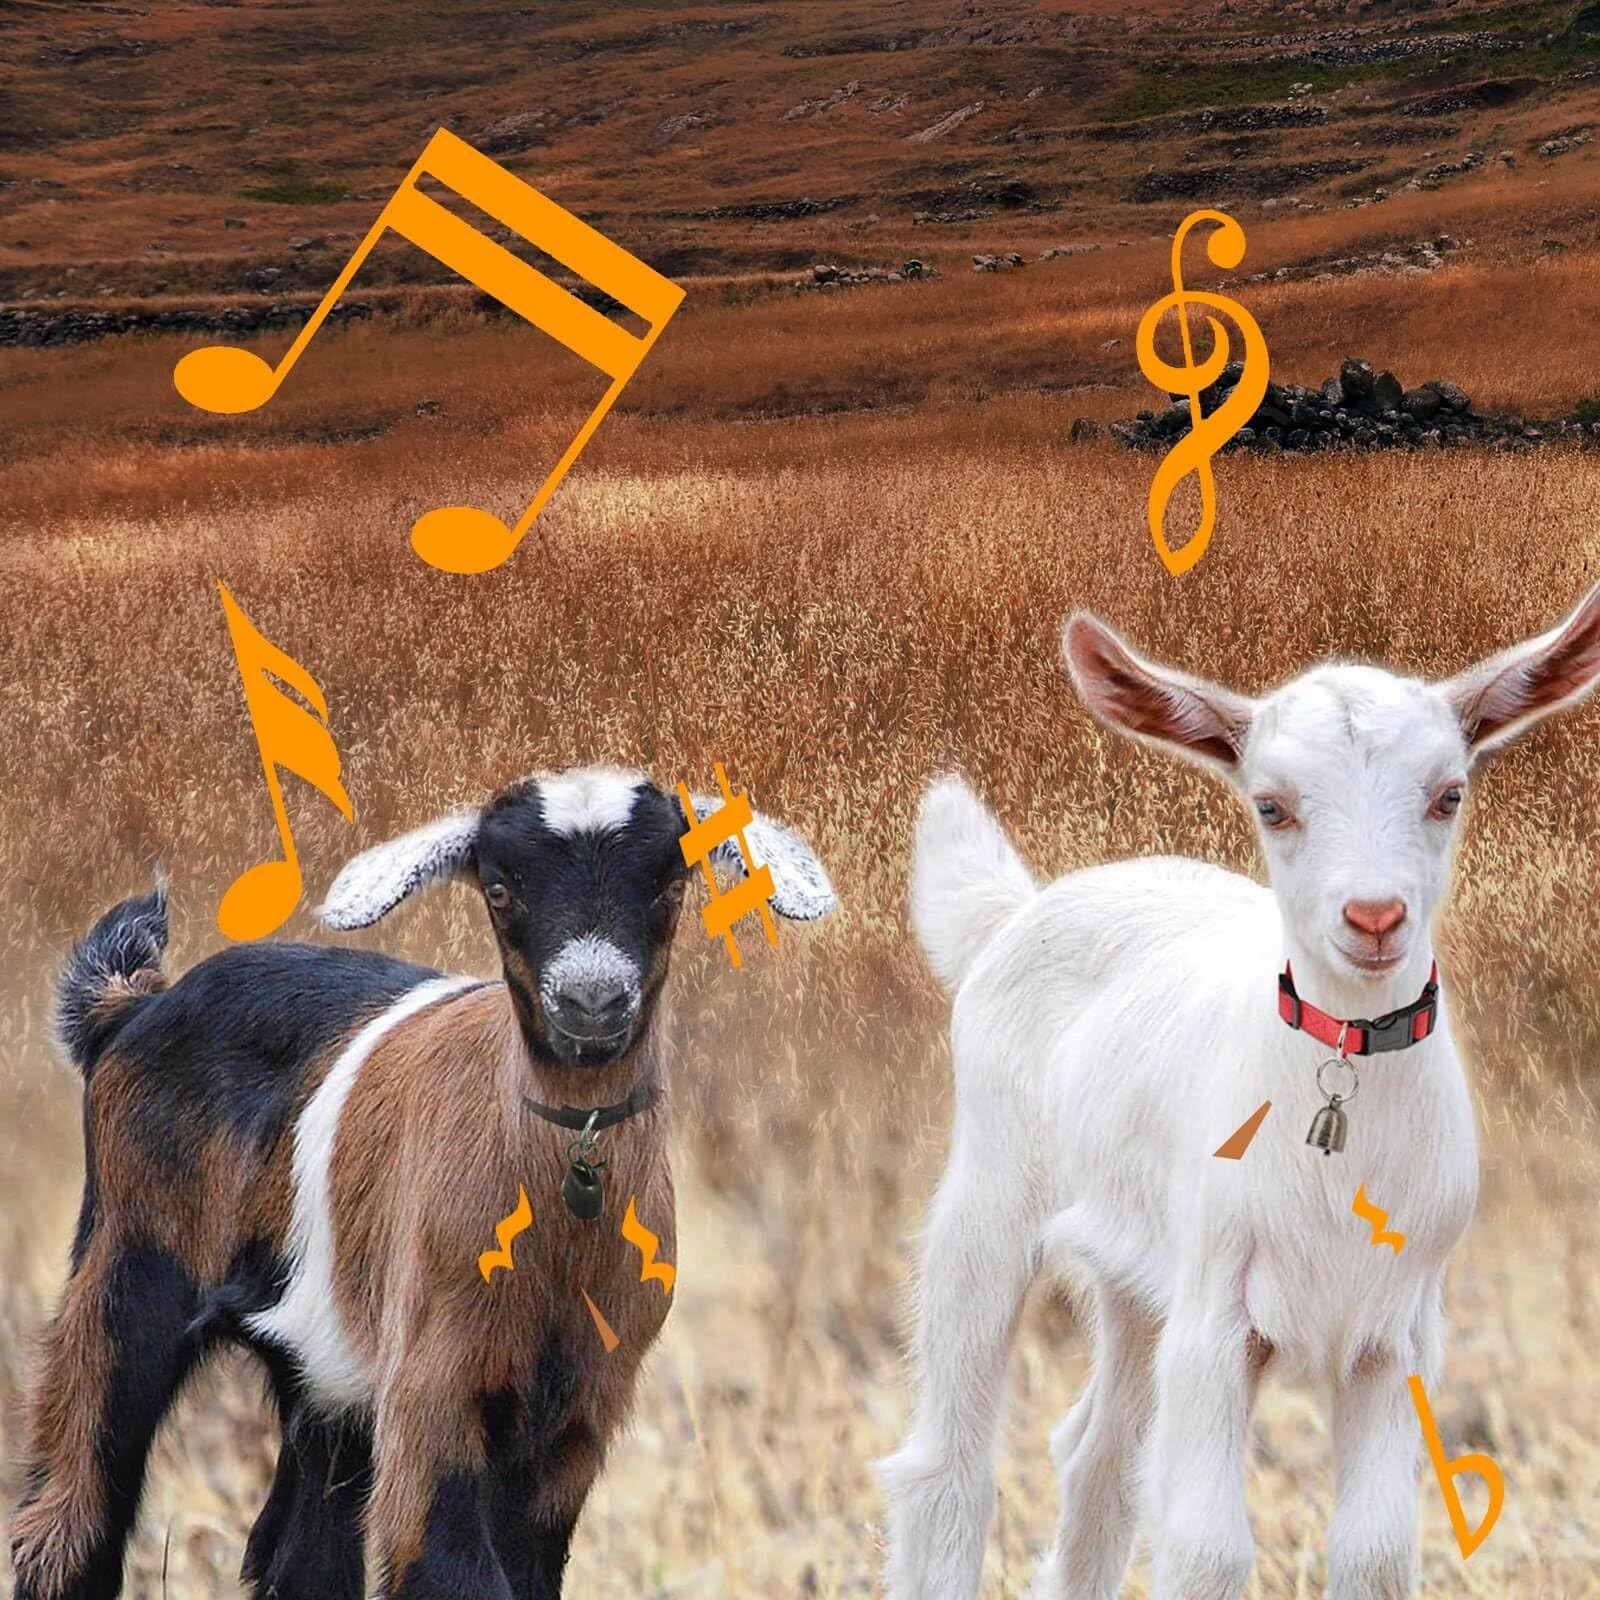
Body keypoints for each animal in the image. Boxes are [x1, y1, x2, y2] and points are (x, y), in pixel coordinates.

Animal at [11, 765, 835, 1600]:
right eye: (500, 889)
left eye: (670, 883)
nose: (592, 1001)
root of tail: (133, 1007)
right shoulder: (433, 1384)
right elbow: (449, 1564)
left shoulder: (581, 1412)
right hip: (126, 1269)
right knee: (71, 1510)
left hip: (326, 1376)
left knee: (299, 1550)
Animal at [879, 582, 1600, 1600]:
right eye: (1273, 806)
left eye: (1447, 795)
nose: (1373, 918)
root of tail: (1013, 914)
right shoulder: (1218, 1315)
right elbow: (1208, 1550)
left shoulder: (1395, 1335)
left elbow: (1375, 1550)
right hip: (989, 1196)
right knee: (946, 1468)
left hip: (1139, 1275)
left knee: (1099, 1460)